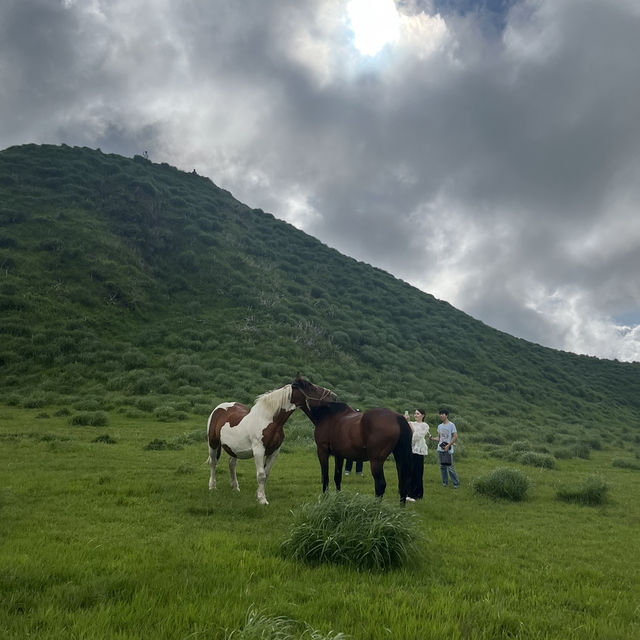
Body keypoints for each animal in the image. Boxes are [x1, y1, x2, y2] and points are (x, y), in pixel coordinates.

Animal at [206, 376, 338, 504]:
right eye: (312, 388)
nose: (334, 396)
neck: (269, 420)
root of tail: (219, 408)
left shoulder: (274, 451)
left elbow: (266, 474)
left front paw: (259, 495)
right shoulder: (259, 451)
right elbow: (261, 475)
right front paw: (262, 500)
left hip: (234, 449)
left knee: (232, 464)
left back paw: (235, 487)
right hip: (213, 443)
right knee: (213, 462)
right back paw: (212, 487)